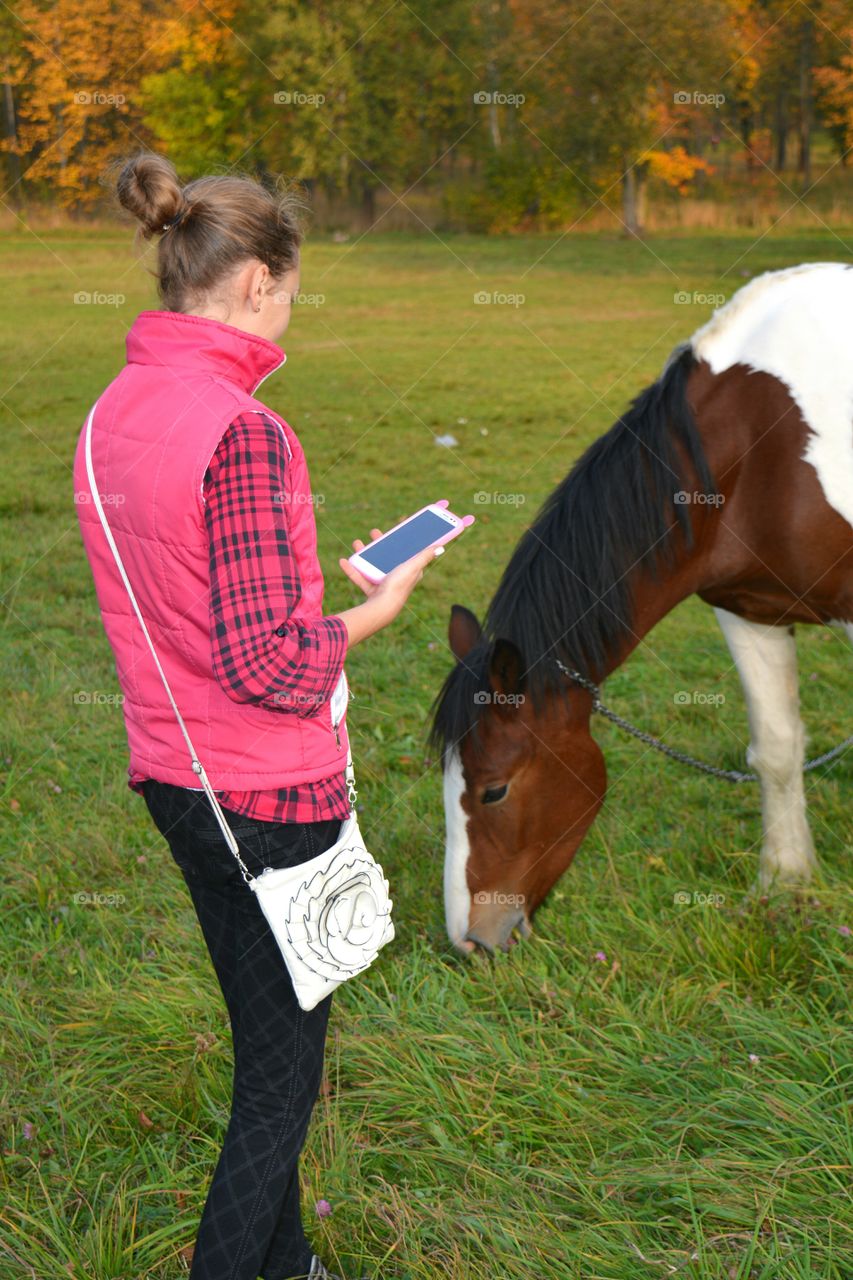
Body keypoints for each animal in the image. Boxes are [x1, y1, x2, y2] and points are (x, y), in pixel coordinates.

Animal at [432, 259, 850, 957]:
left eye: (494, 791)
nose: (470, 942)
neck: (770, 440)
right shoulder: (751, 613)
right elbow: (777, 749)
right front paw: (785, 882)